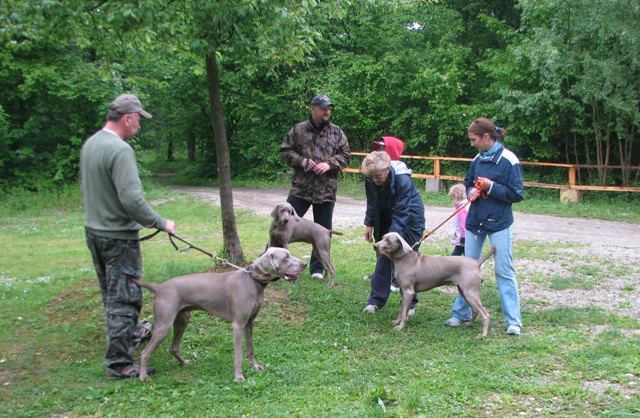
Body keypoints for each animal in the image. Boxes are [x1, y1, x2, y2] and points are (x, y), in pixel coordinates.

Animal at [131, 248, 306, 382]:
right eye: (286, 257)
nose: (304, 264)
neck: (252, 280)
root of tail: (158, 287)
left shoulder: (249, 323)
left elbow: (250, 349)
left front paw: (255, 366)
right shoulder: (238, 325)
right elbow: (238, 354)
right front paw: (238, 376)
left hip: (182, 319)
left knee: (173, 347)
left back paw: (185, 362)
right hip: (164, 325)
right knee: (145, 352)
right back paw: (143, 376)